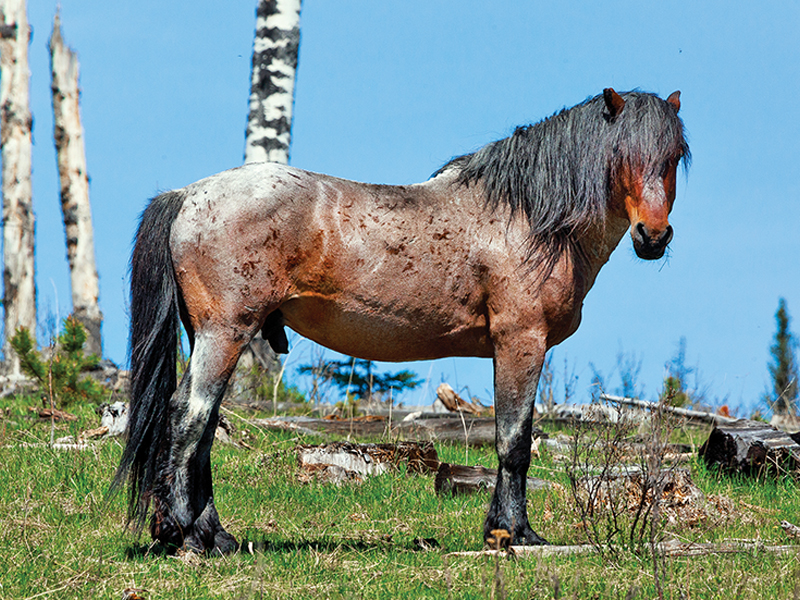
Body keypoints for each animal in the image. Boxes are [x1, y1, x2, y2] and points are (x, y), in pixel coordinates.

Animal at [115, 88, 689, 554]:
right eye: (622, 154)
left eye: (673, 158)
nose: (654, 235)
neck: (528, 219)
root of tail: (188, 195)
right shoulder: (520, 342)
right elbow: (514, 442)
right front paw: (515, 534)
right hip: (225, 332)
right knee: (188, 416)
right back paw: (184, 533)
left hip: (214, 336)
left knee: (204, 426)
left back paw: (215, 535)